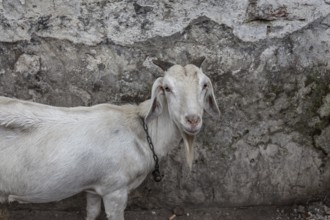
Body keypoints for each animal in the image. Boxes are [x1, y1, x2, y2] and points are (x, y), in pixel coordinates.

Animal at [0, 57, 222, 220]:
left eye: (204, 85)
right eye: (167, 88)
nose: (192, 120)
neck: (141, 131)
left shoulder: (93, 188)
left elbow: (92, 212)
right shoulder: (115, 190)